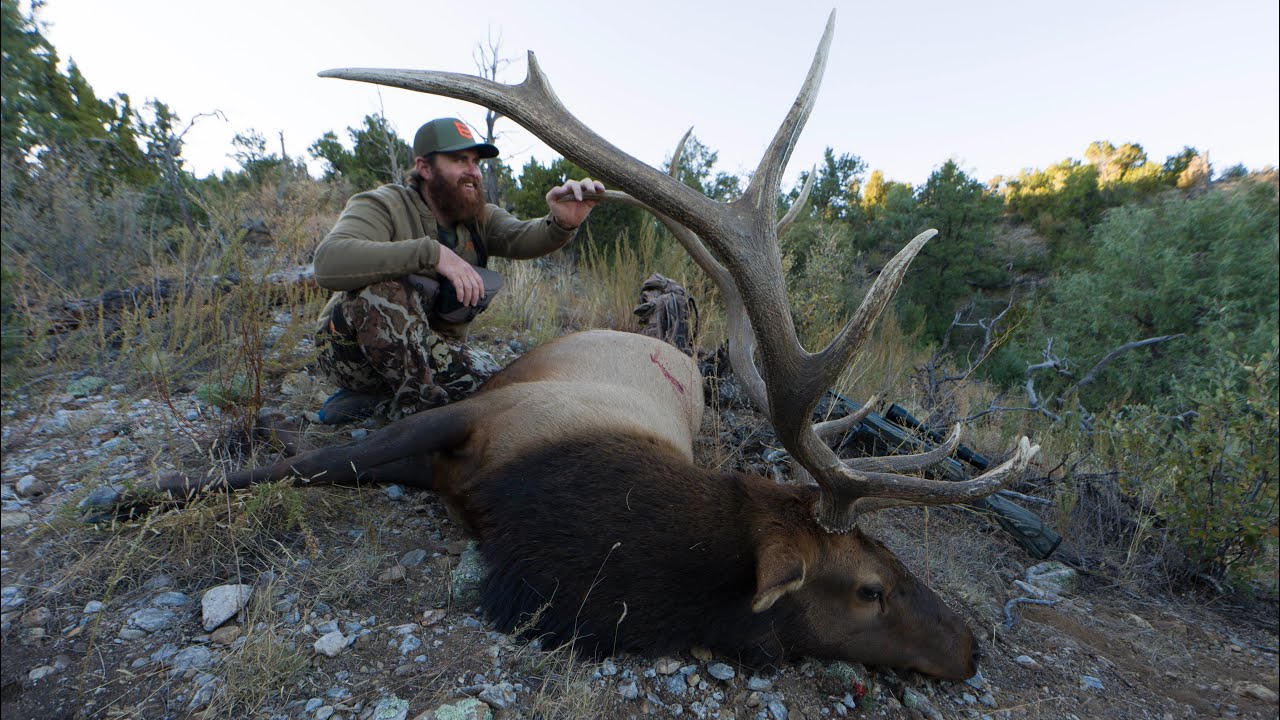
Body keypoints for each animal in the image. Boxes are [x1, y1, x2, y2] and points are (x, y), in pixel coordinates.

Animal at [84, 10, 1039, 679]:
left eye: (894, 557)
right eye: (869, 585)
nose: (969, 648)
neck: (556, 522)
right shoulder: (470, 418)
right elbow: (300, 464)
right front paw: (129, 495)